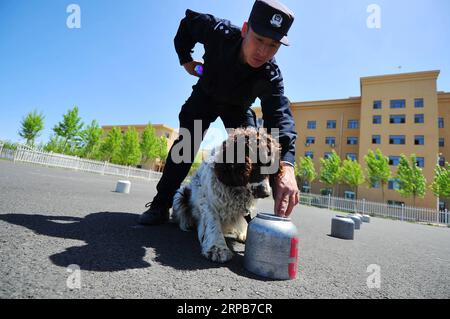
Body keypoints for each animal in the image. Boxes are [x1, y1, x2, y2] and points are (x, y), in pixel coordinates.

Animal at [172, 127, 282, 262]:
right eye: (255, 164)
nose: (265, 193)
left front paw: (244, 234)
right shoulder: (206, 199)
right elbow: (213, 222)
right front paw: (218, 248)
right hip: (180, 194)